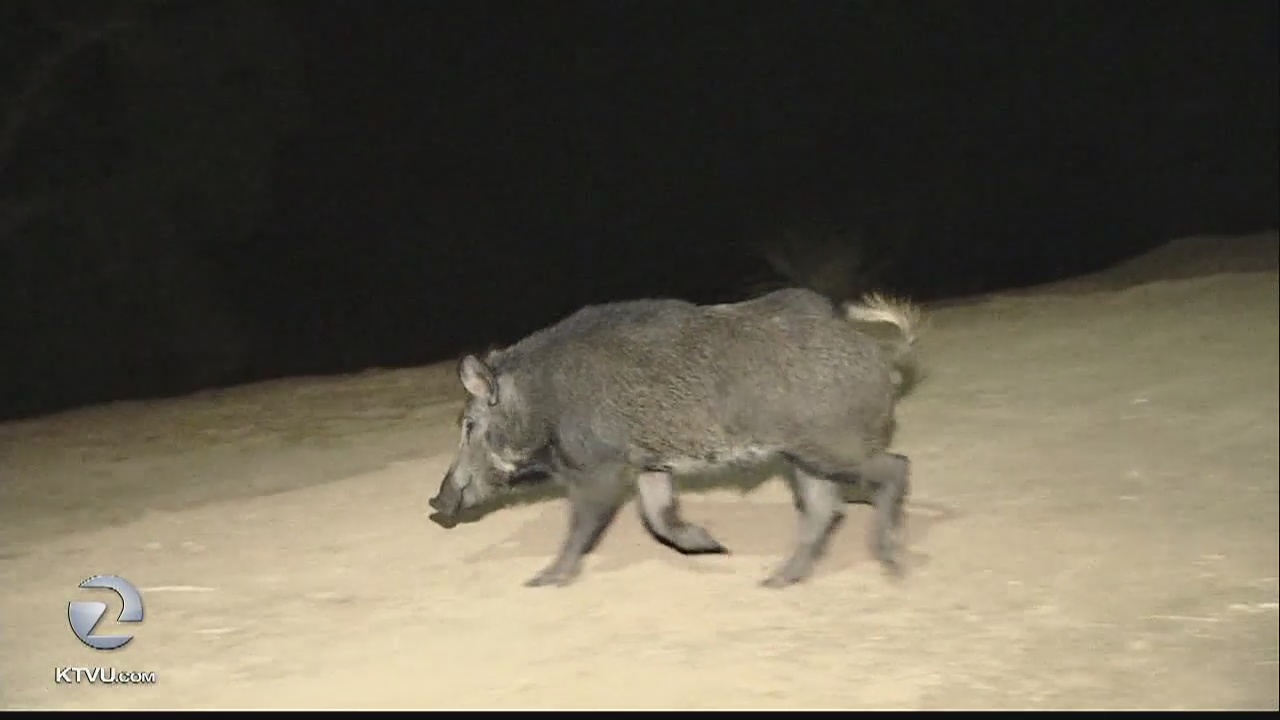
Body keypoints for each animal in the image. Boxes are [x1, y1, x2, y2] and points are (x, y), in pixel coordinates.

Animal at [428, 288, 921, 588]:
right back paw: (775, 580)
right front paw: (714, 545)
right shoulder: (650, 464)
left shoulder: (599, 471)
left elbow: (582, 525)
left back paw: (894, 565)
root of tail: (881, 353)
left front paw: (544, 580)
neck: (540, 401)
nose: (436, 502)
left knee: (894, 469)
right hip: (805, 457)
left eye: (469, 425)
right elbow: (658, 516)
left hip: (832, 445)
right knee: (825, 509)